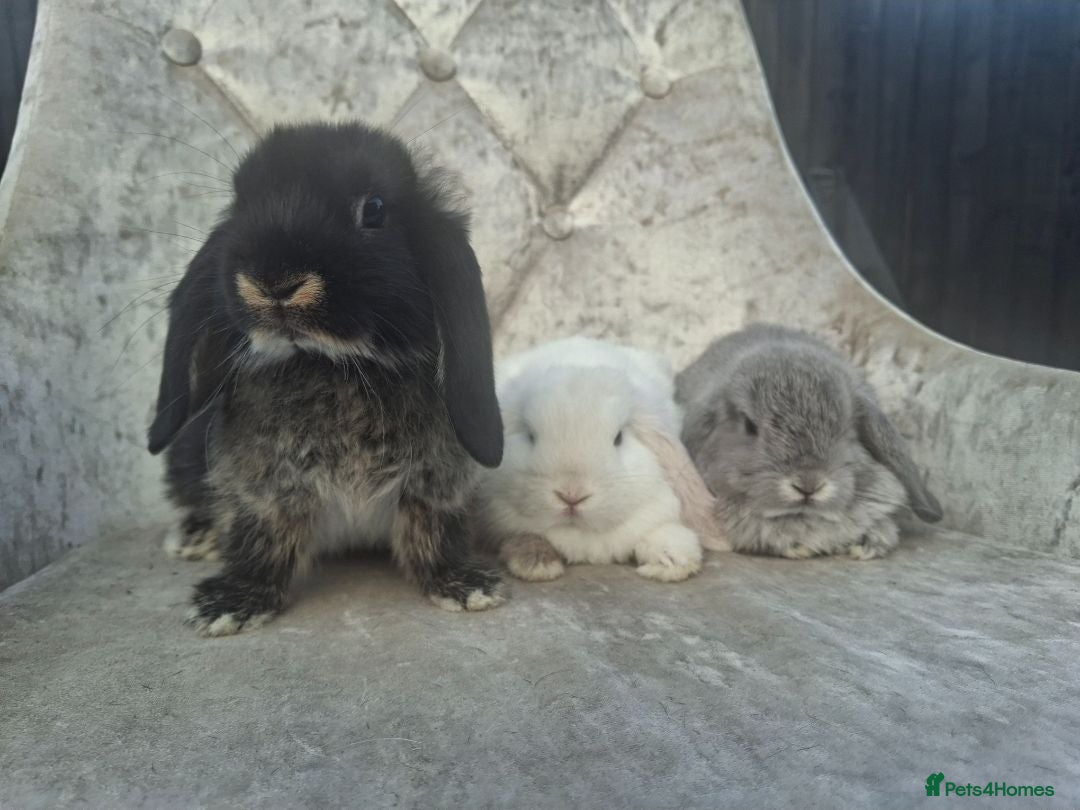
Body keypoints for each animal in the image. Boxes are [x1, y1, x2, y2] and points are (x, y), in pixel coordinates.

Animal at [147, 121, 507, 635]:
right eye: (240, 203)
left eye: (374, 209)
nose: (274, 281)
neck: (336, 365)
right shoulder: (268, 491)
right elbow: (264, 539)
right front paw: (230, 604)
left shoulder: (434, 485)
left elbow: (433, 532)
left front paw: (465, 585)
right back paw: (195, 536)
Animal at [476, 337, 728, 584]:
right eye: (530, 436)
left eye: (618, 438)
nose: (572, 495)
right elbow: (522, 536)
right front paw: (537, 564)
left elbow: (665, 533)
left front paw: (670, 563)